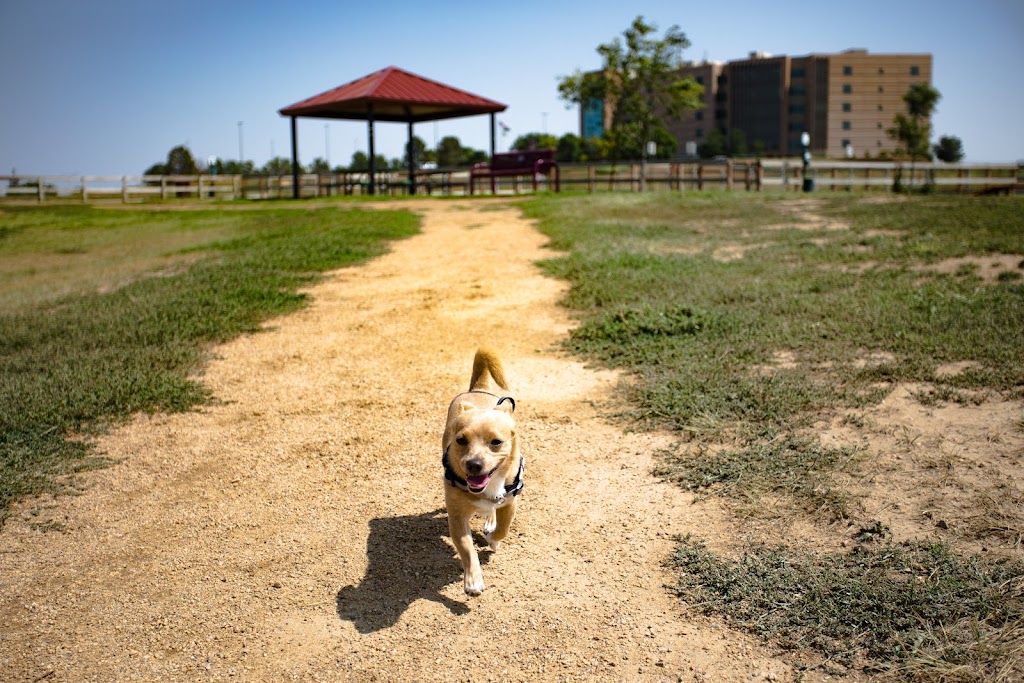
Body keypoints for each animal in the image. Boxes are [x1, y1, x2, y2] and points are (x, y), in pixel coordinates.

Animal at [442, 348, 524, 593]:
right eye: (461, 440)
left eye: (496, 442)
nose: (474, 464)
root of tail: (477, 389)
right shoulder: (457, 517)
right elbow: (467, 549)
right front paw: (473, 581)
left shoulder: (510, 503)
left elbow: (504, 528)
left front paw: (493, 539)